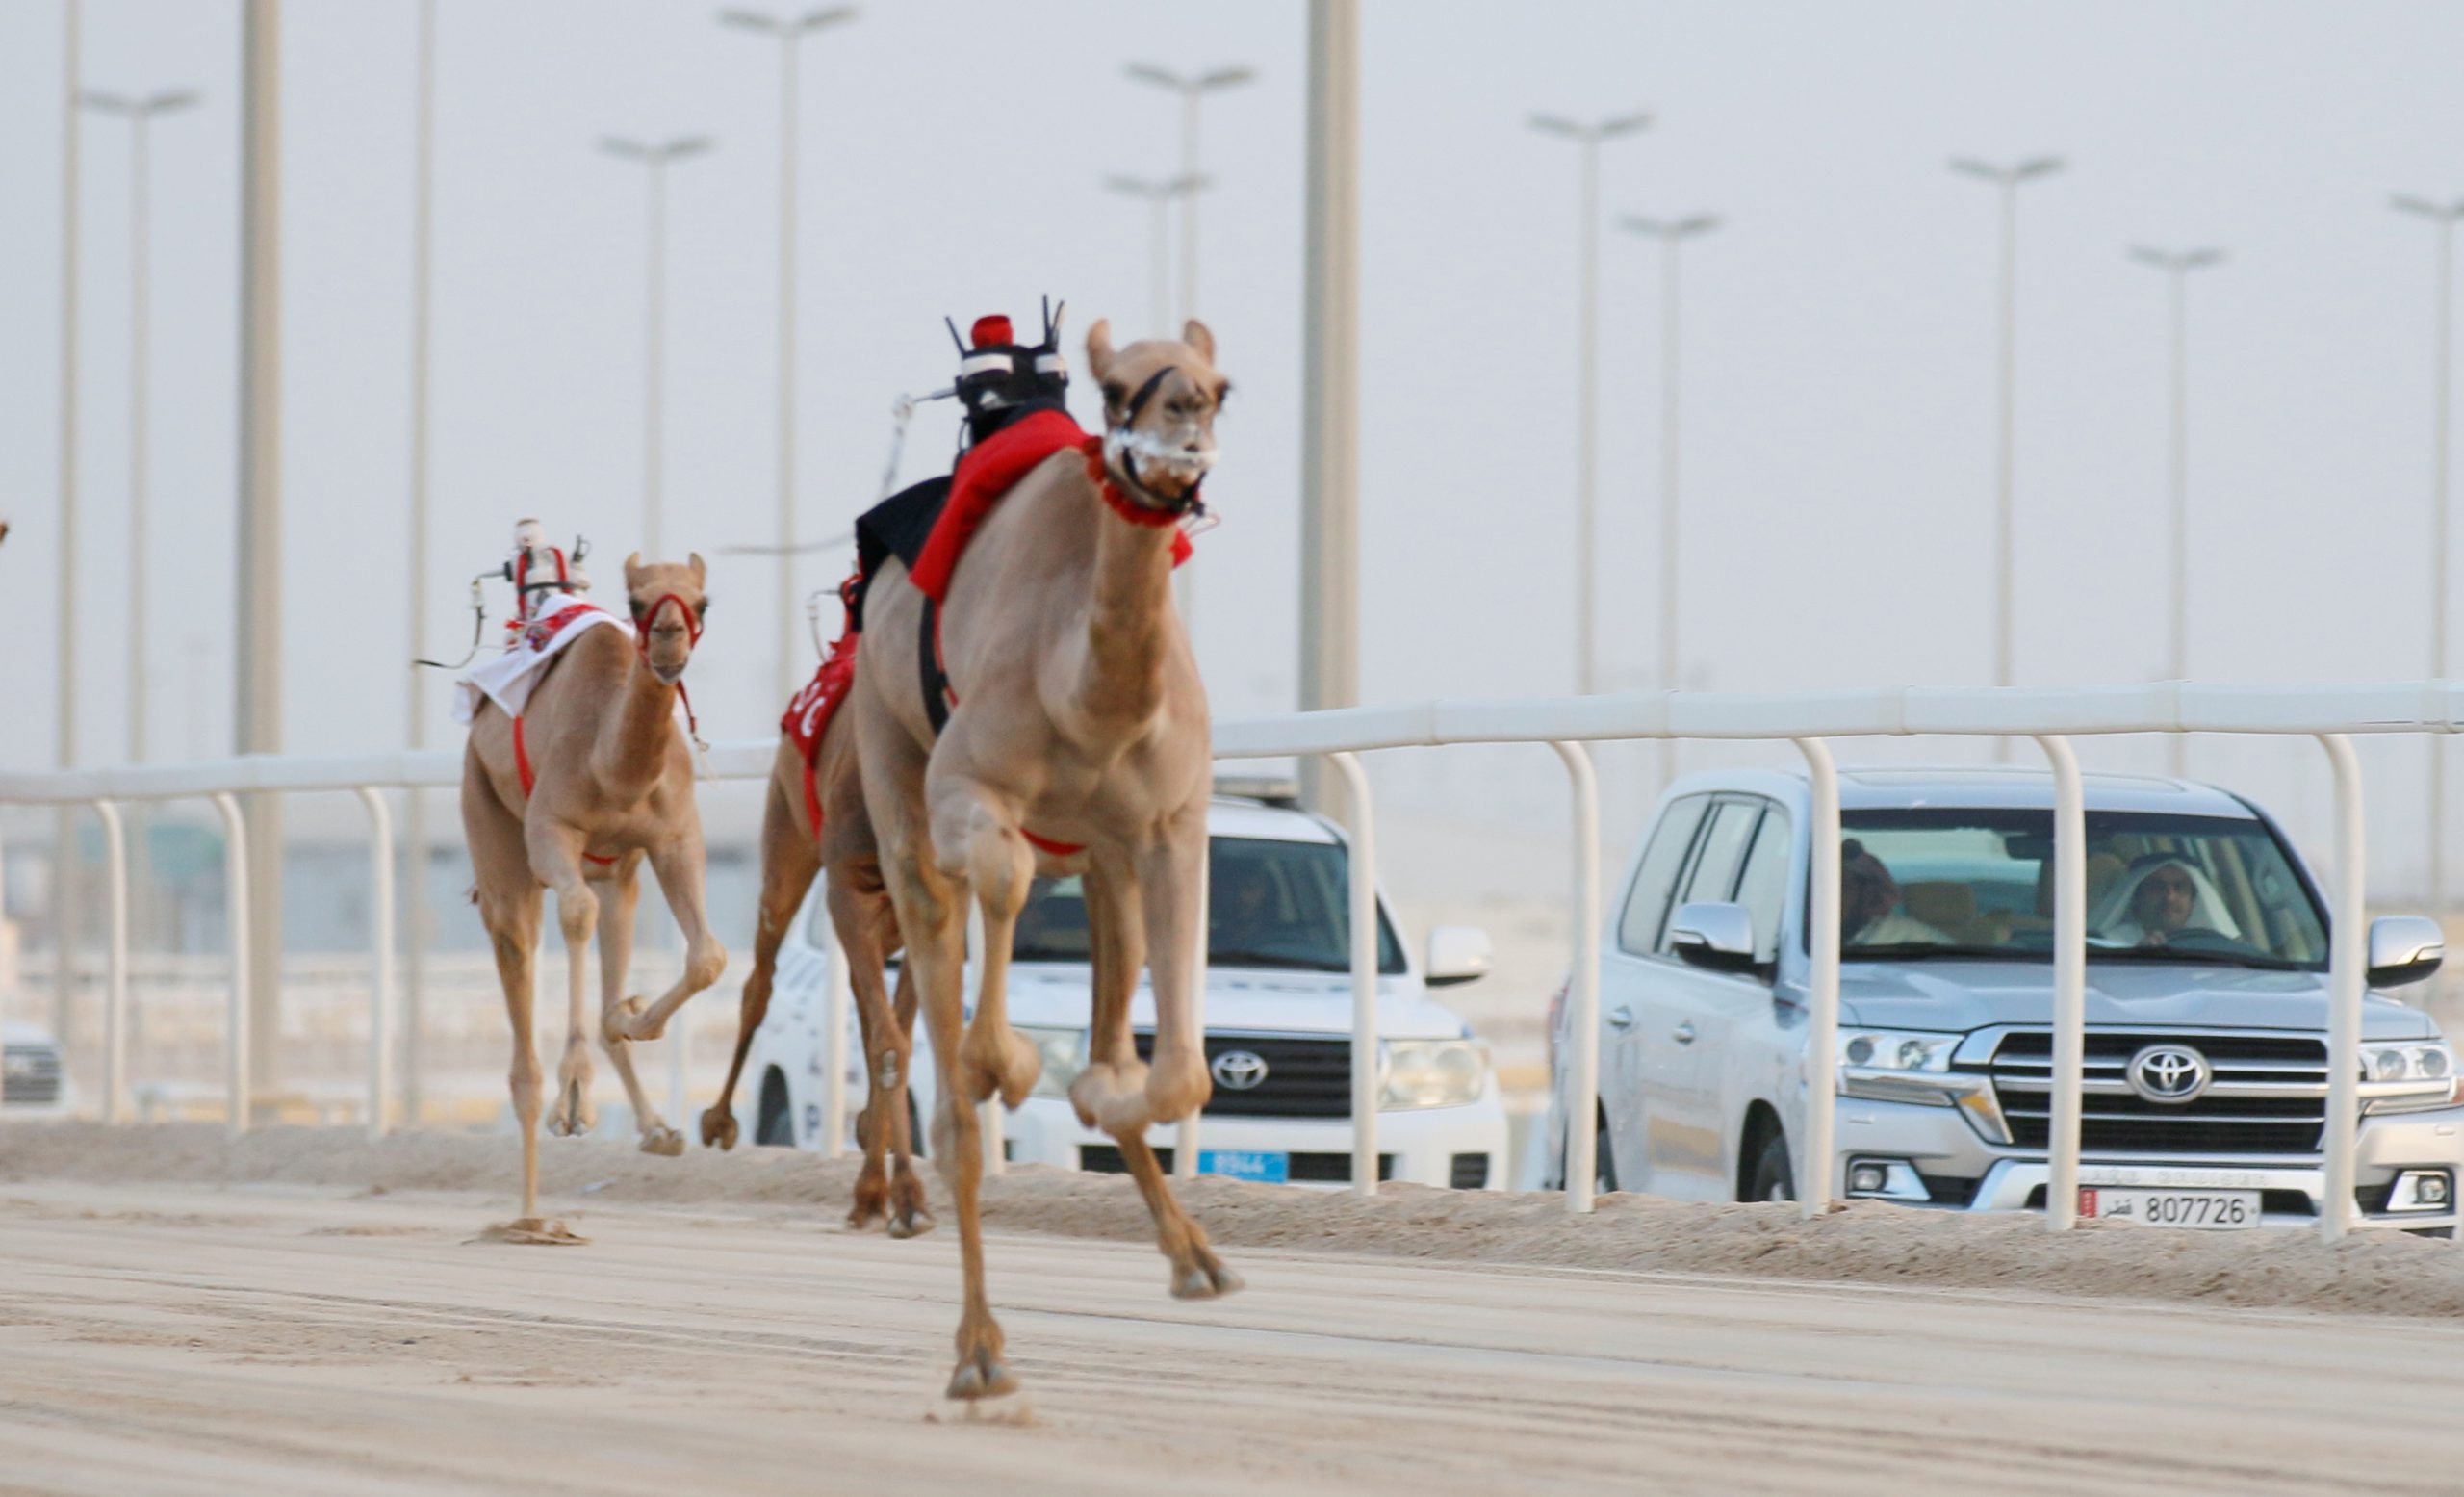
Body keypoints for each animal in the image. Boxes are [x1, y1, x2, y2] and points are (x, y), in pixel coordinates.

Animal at [463, 550, 724, 1243]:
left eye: (703, 600)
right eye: (636, 601)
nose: (670, 641)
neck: (617, 771)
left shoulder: (674, 836)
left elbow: (707, 956)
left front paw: (629, 1019)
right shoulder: (551, 830)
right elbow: (575, 912)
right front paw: (576, 1099)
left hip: (619, 872)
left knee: (611, 916)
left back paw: (656, 1126)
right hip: (489, 818)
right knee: (519, 948)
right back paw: (530, 1213)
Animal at [705, 631, 931, 1243]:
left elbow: (894, 1037)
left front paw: (889, 1193)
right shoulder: (847, 892)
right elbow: (889, 1041)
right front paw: (898, 1197)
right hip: (786, 843)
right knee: (759, 982)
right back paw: (718, 1120)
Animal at [857, 318, 1242, 1401]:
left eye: (1222, 386)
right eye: (1114, 390)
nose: (1182, 430)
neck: (1087, 700)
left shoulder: (1169, 823)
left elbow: (1174, 1076)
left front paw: (1105, 1089)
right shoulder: (966, 786)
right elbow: (1004, 881)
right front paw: (1011, 1057)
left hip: (1104, 856)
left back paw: (1196, 1256)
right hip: (887, 761)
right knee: (949, 1094)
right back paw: (979, 1351)